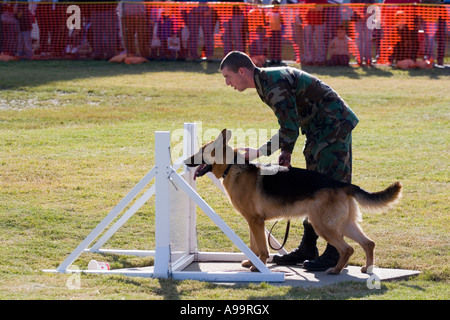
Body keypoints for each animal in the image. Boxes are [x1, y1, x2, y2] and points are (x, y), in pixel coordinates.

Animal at [185, 130, 402, 276]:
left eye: (201, 151)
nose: (187, 161)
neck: (231, 166)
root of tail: (342, 184)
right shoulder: (252, 222)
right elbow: (254, 245)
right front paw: (251, 262)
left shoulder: (256, 221)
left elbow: (262, 249)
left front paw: (258, 266)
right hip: (344, 225)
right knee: (368, 243)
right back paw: (368, 268)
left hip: (324, 225)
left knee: (347, 249)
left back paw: (335, 270)